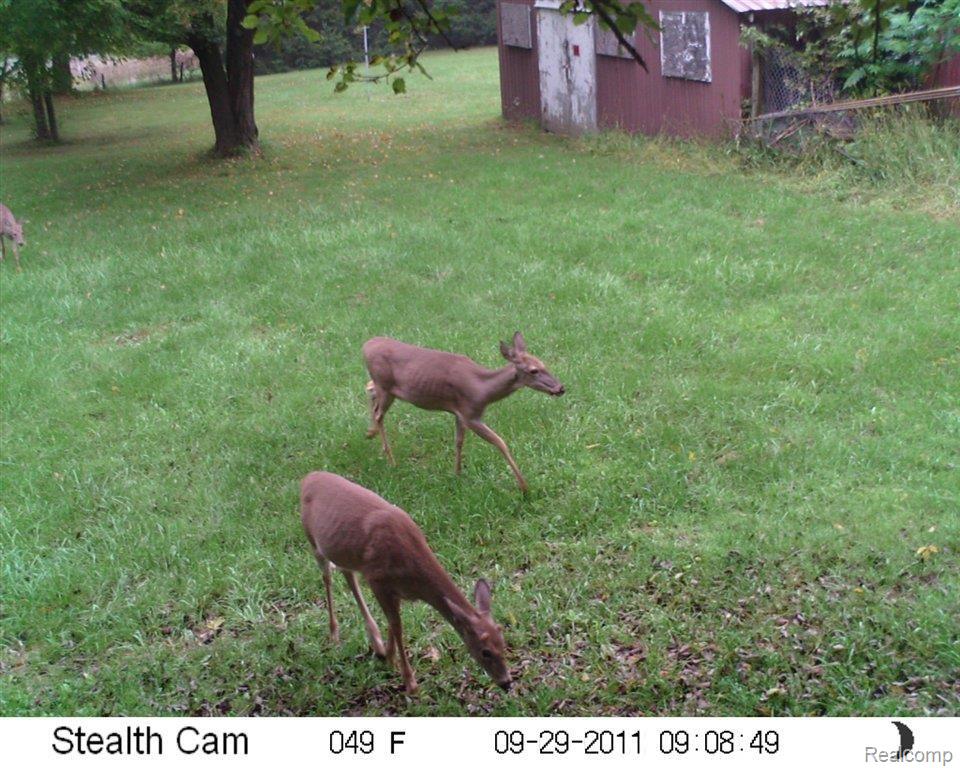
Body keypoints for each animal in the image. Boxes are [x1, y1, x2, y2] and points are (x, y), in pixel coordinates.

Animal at [300, 470, 511, 694]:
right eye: (485, 651)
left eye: (503, 643)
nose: (507, 682)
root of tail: (308, 477)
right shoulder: (377, 579)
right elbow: (397, 625)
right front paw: (410, 682)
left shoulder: (396, 590)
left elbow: (392, 623)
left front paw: (388, 656)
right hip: (312, 539)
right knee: (327, 577)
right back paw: (334, 634)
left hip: (343, 552)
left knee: (347, 575)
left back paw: (376, 643)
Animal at [363, 332, 565, 493]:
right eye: (533, 370)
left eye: (543, 364)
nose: (561, 388)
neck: (483, 390)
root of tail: (365, 346)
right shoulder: (470, 414)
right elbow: (500, 442)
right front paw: (524, 487)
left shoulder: (459, 412)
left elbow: (459, 441)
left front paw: (457, 473)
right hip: (385, 385)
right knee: (379, 413)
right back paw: (390, 459)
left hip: (384, 387)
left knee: (371, 393)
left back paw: (370, 433)